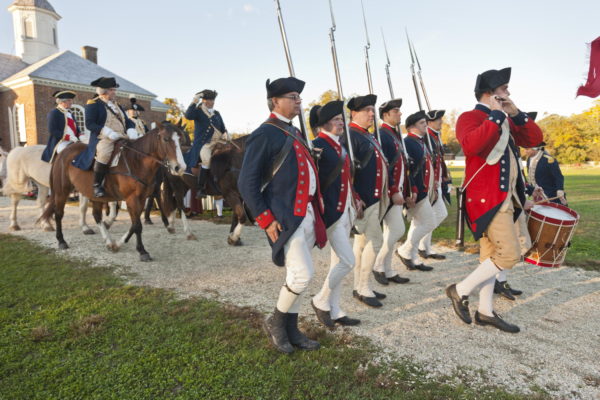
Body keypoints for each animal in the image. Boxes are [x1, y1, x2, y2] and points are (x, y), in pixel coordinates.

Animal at [40, 122, 185, 260]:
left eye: (181, 139)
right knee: (59, 214)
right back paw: (61, 241)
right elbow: (137, 225)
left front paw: (118, 244)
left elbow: (134, 224)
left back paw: (109, 241)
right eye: (166, 139)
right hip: (61, 191)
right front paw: (142, 251)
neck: (137, 161)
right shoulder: (131, 198)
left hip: (94, 195)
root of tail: (63, 152)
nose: (180, 167)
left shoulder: (141, 197)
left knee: (96, 215)